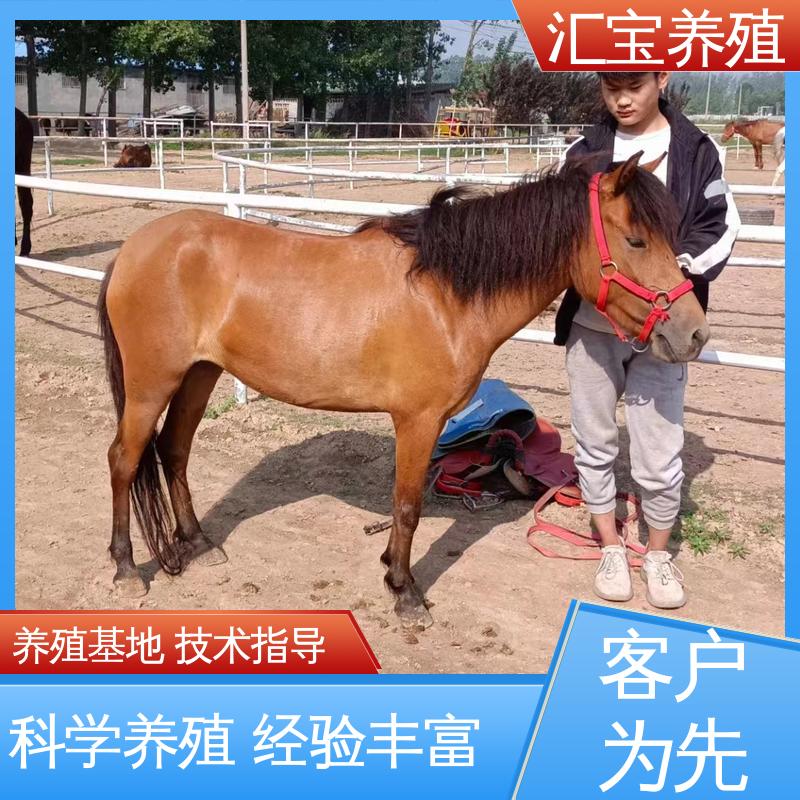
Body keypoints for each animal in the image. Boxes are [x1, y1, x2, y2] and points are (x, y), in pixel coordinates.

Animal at [97, 151, 709, 628]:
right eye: (636, 240)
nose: (694, 334)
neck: (447, 294)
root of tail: (133, 248)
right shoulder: (419, 420)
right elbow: (408, 504)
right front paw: (406, 592)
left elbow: (403, 505)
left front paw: (392, 574)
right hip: (153, 384)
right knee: (125, 459)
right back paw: (126, 570)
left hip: (199, 375)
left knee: (174, 452)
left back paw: (198, 545)